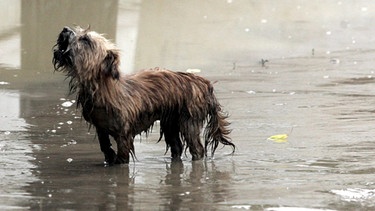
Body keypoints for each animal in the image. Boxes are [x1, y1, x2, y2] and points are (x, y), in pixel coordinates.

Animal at [53, 26, 235, 165]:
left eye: (86, 39)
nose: (65, 29)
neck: (103, 89)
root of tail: (204, 83)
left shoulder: (124, 134)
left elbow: (122, 156)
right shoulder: (100, 127)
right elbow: (105, 146)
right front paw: (109, 158)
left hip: (188, 120)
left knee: (197, 149)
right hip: (170, 121)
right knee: (177, 147)